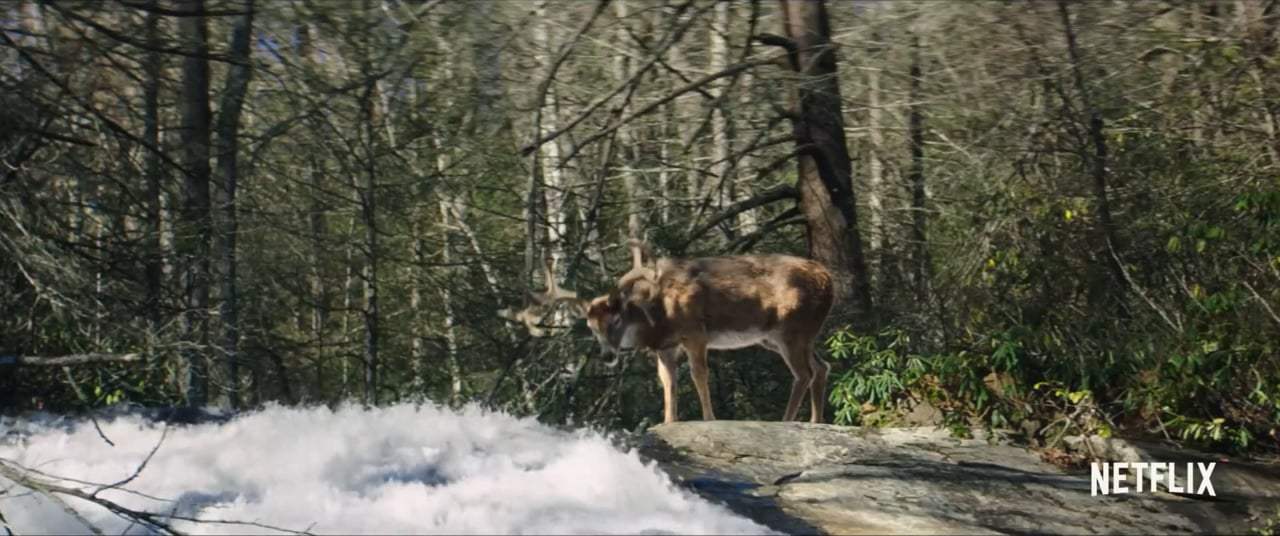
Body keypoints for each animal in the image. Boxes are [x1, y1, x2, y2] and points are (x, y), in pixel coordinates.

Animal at [514, 242, 836, 424]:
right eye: (591, 327)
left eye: (616, 320)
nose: (607, 356)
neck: (659, 316)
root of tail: (827, 278)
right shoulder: (665, 347)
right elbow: (667, 381)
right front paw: (669, 422)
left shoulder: (695, 332)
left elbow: (698, 374)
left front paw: (709, 418)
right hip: (785, 336)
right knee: (822, 366)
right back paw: (815, 422)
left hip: (791, 326)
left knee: (804, 373)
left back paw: (787, 420)